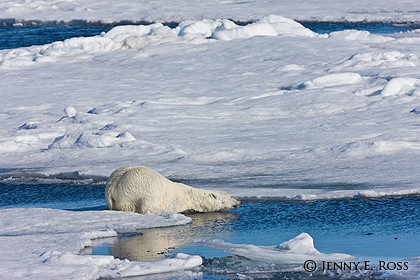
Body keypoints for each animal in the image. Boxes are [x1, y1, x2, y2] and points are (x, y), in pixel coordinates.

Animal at [105, 166, 241, 214]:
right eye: (231, 196)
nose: (240, 201)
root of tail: (112, 186)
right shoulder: (177, 201)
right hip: (140, 188)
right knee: (148, 205)